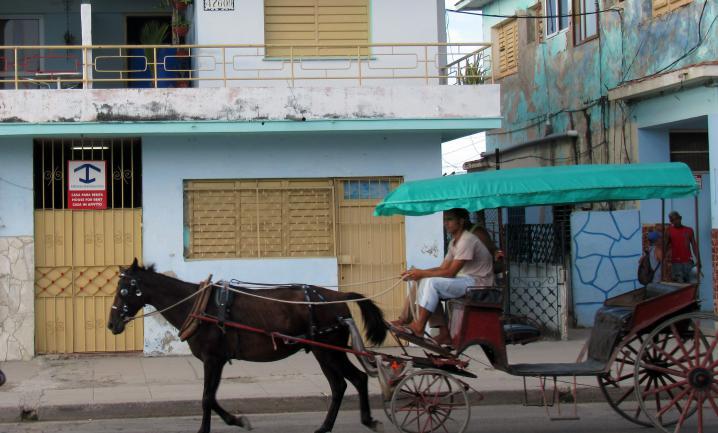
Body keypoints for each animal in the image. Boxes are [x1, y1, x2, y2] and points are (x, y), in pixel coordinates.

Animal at [107, 258, 388, 432]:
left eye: (124, 290)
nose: (112, 324)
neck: (197, 306)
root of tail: (338, 296)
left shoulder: (212, 359)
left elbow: (206, 398)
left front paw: (210, 427)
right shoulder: (218, 360)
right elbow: (212, 397)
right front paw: (237, 420)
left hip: (329, 351)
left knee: (357, 379)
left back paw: (365, 421)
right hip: (324, 353)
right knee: (341, 385)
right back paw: (327, 426)